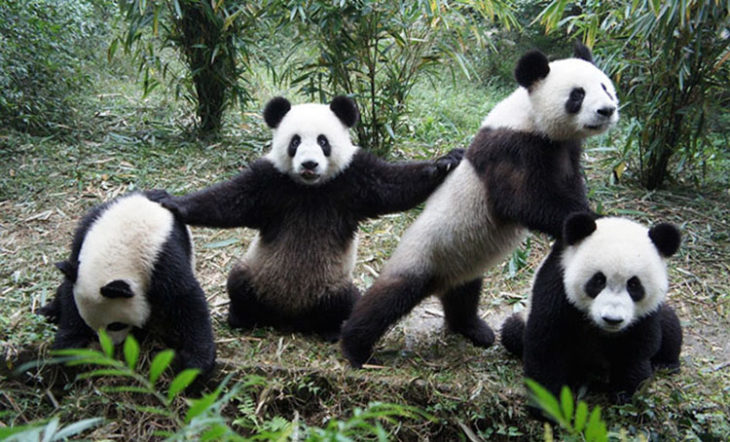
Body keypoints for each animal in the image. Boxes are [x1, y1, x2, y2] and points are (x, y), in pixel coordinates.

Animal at [39, 192, 215, 374]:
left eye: (115, 325)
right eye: (91, 325)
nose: (112, 346)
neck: (115, 251)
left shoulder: (160, 260)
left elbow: (186, 299)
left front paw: (197, 362)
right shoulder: (81, 250)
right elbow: (69, 298)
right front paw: (67, 348)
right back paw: (47, 311)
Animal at [498, 212, 680, 406]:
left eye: (633, 284)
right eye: (599, 280)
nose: (612, 319)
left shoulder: (645, 316)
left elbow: (636, 350)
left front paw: (624, 394)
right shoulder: (557, 287)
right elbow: (546, 346)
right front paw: (549, 405)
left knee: (670, 323)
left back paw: (667, 363)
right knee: (512, 332)